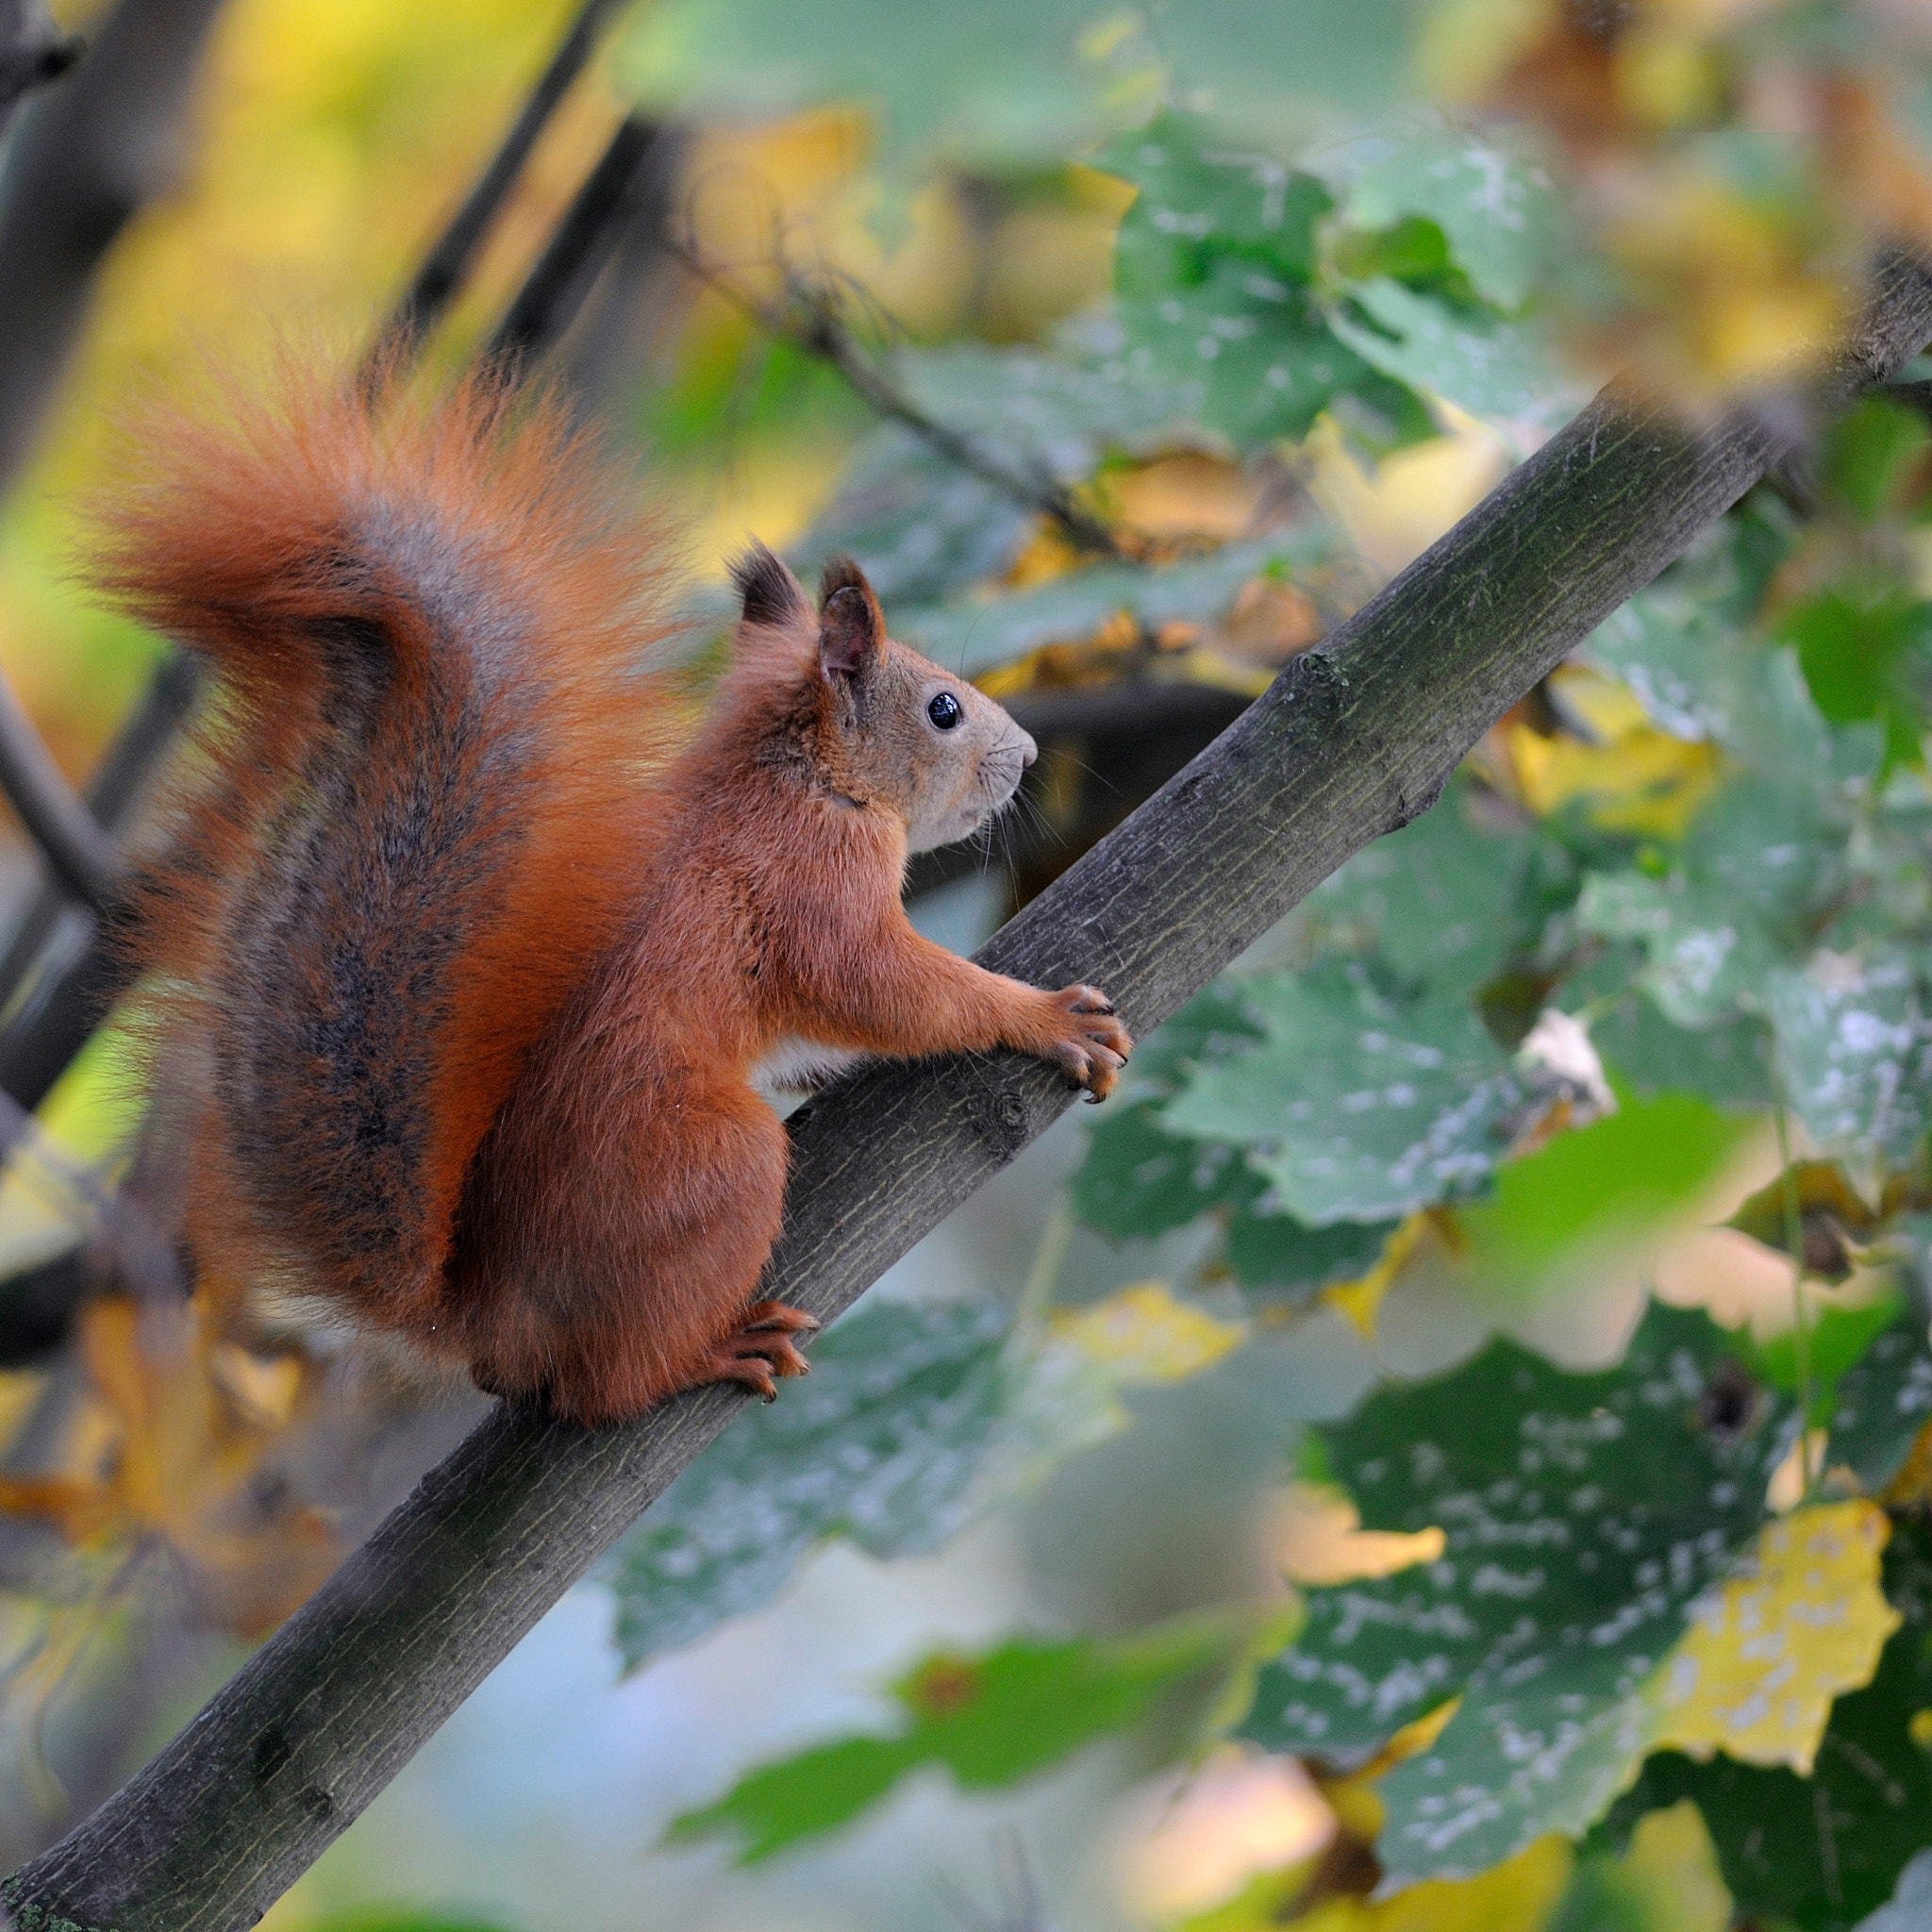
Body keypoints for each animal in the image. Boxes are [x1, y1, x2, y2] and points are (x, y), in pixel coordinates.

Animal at [93, 369, 1128, 1429]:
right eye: (943, 710)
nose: (1028, 756)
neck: (797, 778)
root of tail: (478, 1311)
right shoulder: (814, 891)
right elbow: (887, 989)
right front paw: (1043, 1016)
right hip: (711, 1166)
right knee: (607, 1383)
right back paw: (706, 1351)